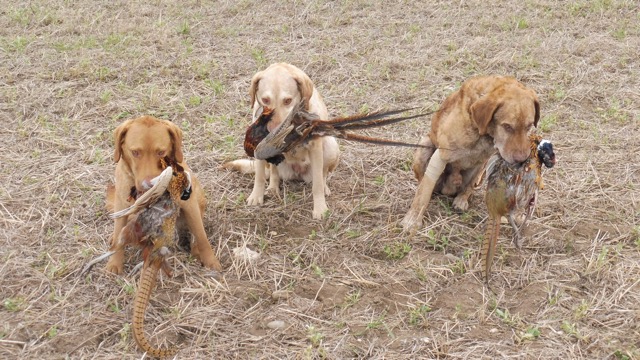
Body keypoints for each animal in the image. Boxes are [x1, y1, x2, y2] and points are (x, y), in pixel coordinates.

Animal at [105, 115, 222, 272]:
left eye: (161, 152)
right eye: (135, 152)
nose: (148, 185)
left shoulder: (190, 205)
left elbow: (201, 236)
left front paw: (211, 261)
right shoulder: (122, 203)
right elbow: (118, 231)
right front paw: (114, 262)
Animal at [222, 63, 340, 218]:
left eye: (288, 101)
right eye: (265, 100)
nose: (272, 132)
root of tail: (297, 173)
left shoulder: (315, 147)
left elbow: (318, 184)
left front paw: (320, 208)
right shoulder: (258, 148)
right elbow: (259, 177)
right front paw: (256, 196)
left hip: (331, 147)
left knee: (323, 174)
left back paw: (325, 187)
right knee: (273, 172)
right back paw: (272, 188)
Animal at [402, 76, 536, 231]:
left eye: (529, 126)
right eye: (507, 126)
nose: (522, 160)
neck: (481, 132)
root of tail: (447, 189)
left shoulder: (485, 159)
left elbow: (471, 185)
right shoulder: (441, 156)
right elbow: (424, 191)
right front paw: (413, 219)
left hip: (479, 169)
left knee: (469, 186)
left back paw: (462, 199)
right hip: (425, 146)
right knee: (424, 183)